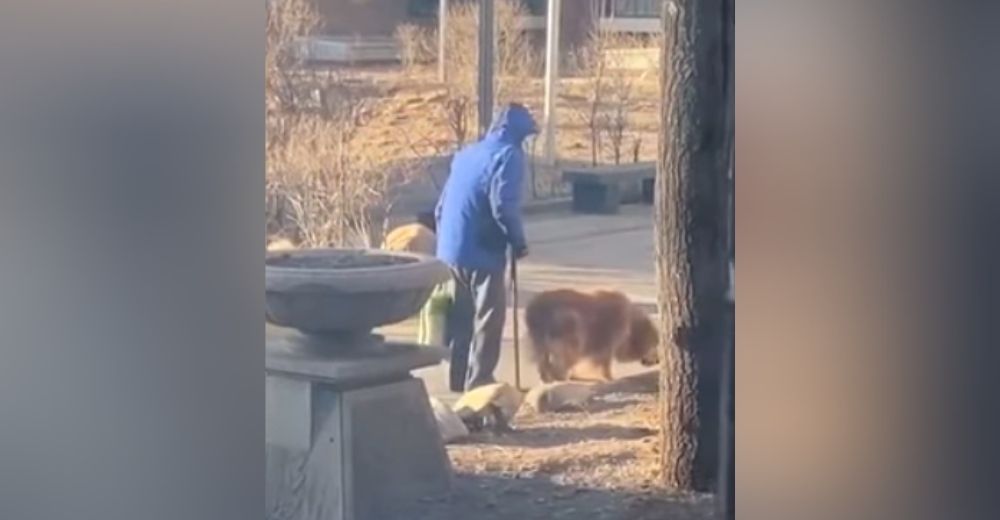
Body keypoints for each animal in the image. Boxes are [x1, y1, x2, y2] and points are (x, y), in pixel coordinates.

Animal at [528, 288, 660, 382]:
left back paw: (549, 377)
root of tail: (534, 308)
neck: (631, 324)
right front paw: (609, 378)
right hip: (572, 329)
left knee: (544, 362)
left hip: (542, 344)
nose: (658, 361)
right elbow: (605, 363)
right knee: (559, 363)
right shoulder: (608, 343)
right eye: (655, 346)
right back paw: (561, 376)